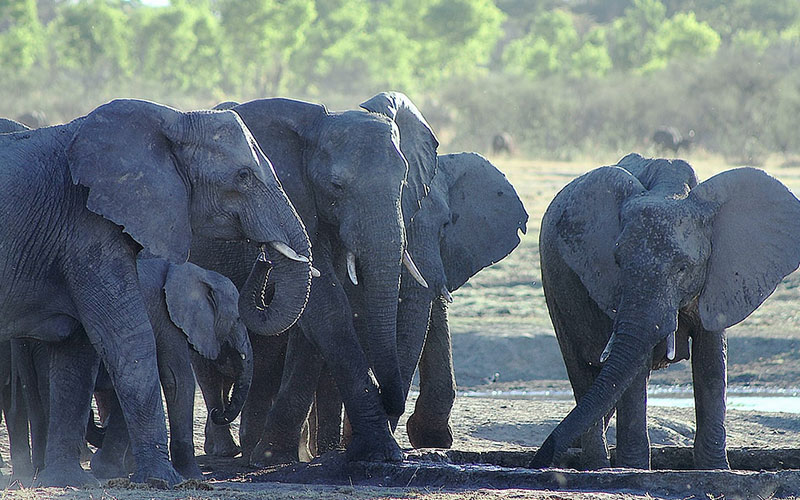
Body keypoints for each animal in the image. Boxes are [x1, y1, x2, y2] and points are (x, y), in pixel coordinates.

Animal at [0, 98, 311, 486]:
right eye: (243, 176)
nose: (265, 259)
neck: (172, 118)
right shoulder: (84, 228)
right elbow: (131, 342)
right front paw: (163, 480)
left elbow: (76, 354)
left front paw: (67, 481)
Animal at [189, 92, 439, 466]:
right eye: (337, 186)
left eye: (404, 182)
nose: (263, 260)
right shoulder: (292, 199)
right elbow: (327, 307)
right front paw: (382, 453)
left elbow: (316, 319)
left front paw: (276, 456)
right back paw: (227, 449)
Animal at [530, 153, 800, 470]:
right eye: (618, 262)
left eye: (683, 268)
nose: (538, 459)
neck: (670, 190)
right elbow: (634, 370)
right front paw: (633, 470)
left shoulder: (719, 276)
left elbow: (711, 362)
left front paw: (716, 470)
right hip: (553, 287)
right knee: (583, 372)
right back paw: (597, 466)